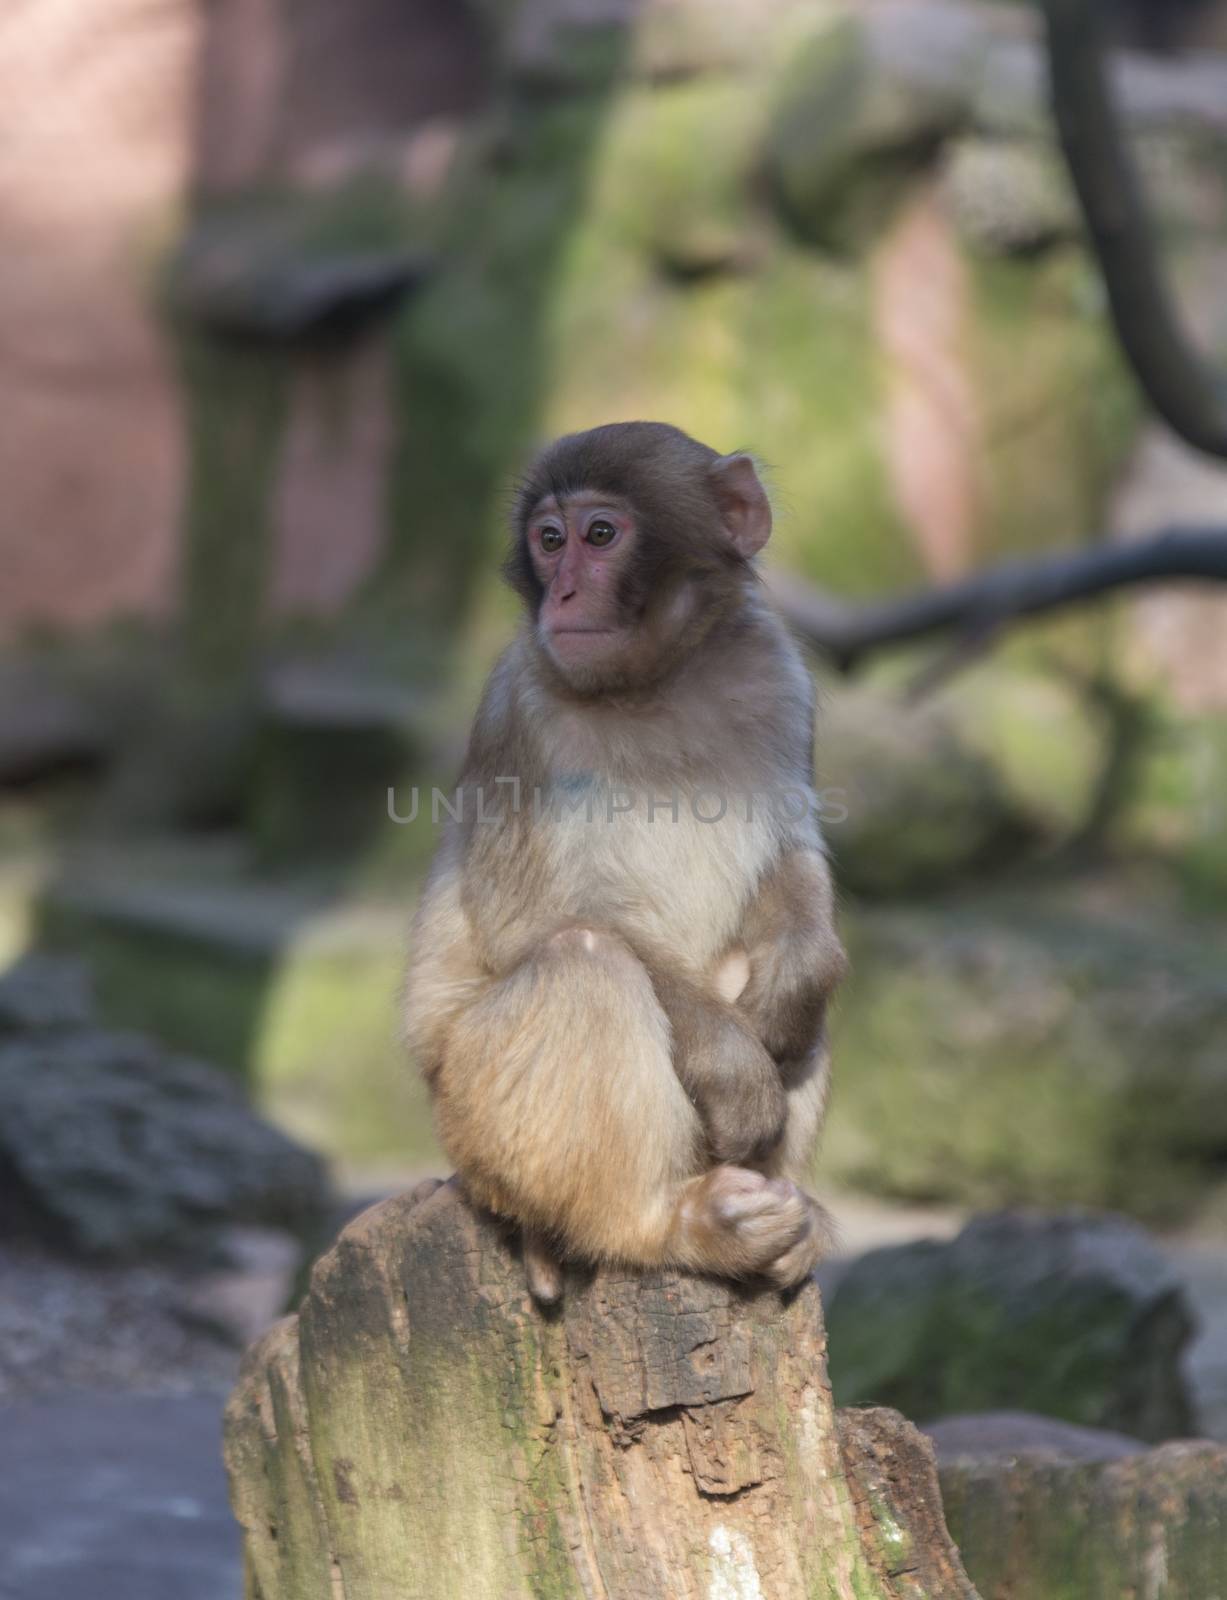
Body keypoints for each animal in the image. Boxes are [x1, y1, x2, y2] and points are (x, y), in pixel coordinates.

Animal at [403, 422, 844, 1299]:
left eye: (599, 535)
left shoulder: (777, 673)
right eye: (549, 541)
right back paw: (663, 1226)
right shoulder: (519, 714)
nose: (565, 595)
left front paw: (798, 976)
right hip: (475, 1125)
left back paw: (790, 1214)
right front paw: (735, 1072)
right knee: (583, 961)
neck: (655, 683)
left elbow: (793, 860)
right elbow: (537, 924)